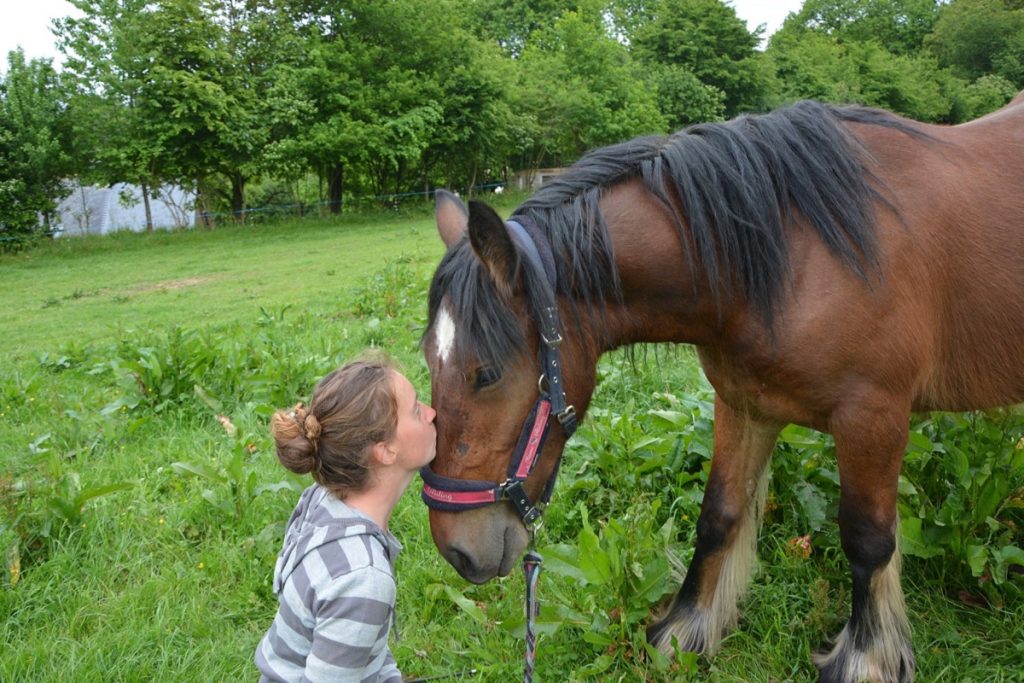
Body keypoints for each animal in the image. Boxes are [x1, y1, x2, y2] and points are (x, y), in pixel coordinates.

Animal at [418, 92, 1024, 683]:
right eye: (429, 360)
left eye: (487, 373)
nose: (458, 550)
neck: (797, 251)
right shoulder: (744, 405)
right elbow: (718, 517)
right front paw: (686, 630)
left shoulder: (873, 416)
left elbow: (868, 539)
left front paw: (866, 659)